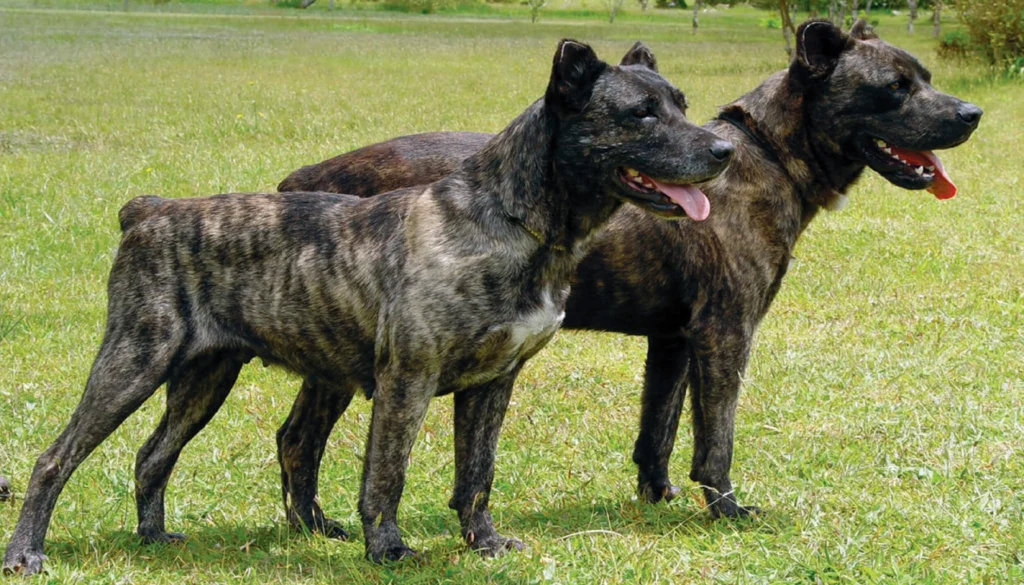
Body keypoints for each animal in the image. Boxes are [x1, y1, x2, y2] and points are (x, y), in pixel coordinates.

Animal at [2, 41, 737, 577]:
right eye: (641, 113)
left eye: (680, 103)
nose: (726, 150)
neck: (507, 219)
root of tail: (149, 211)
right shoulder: (405, 379)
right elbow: (387, 473)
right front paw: (387, 549)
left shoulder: (493, 383)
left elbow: (477, 474)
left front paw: (482, 541)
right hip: (132, 363)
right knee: (54, 459)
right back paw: (26, 552)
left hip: (204, 378)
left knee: (153, 455)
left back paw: (153, 538)